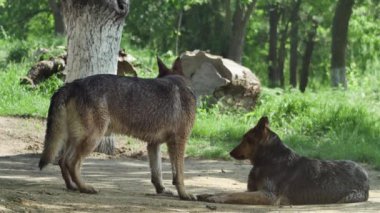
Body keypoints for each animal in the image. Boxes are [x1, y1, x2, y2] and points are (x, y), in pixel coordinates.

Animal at [39, 57, 197, 200]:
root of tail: (72, 84)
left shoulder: (153, 144)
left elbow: (157, 173)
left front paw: (162, 190)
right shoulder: (178, 142)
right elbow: (179, 174)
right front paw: (184, 194)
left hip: (76, 140)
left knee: (62, 161)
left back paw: (72, 186)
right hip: (92, 139)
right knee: (71, 163)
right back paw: (85, 188)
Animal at [197, 116, 370, 205]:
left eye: (245, 139)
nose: (230, 152)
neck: (269, 159)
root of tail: (364, 173)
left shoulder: (268, 195)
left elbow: (234, 195)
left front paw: (217, 198)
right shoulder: (254, 191)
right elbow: (230, 192)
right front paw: (207, 194)